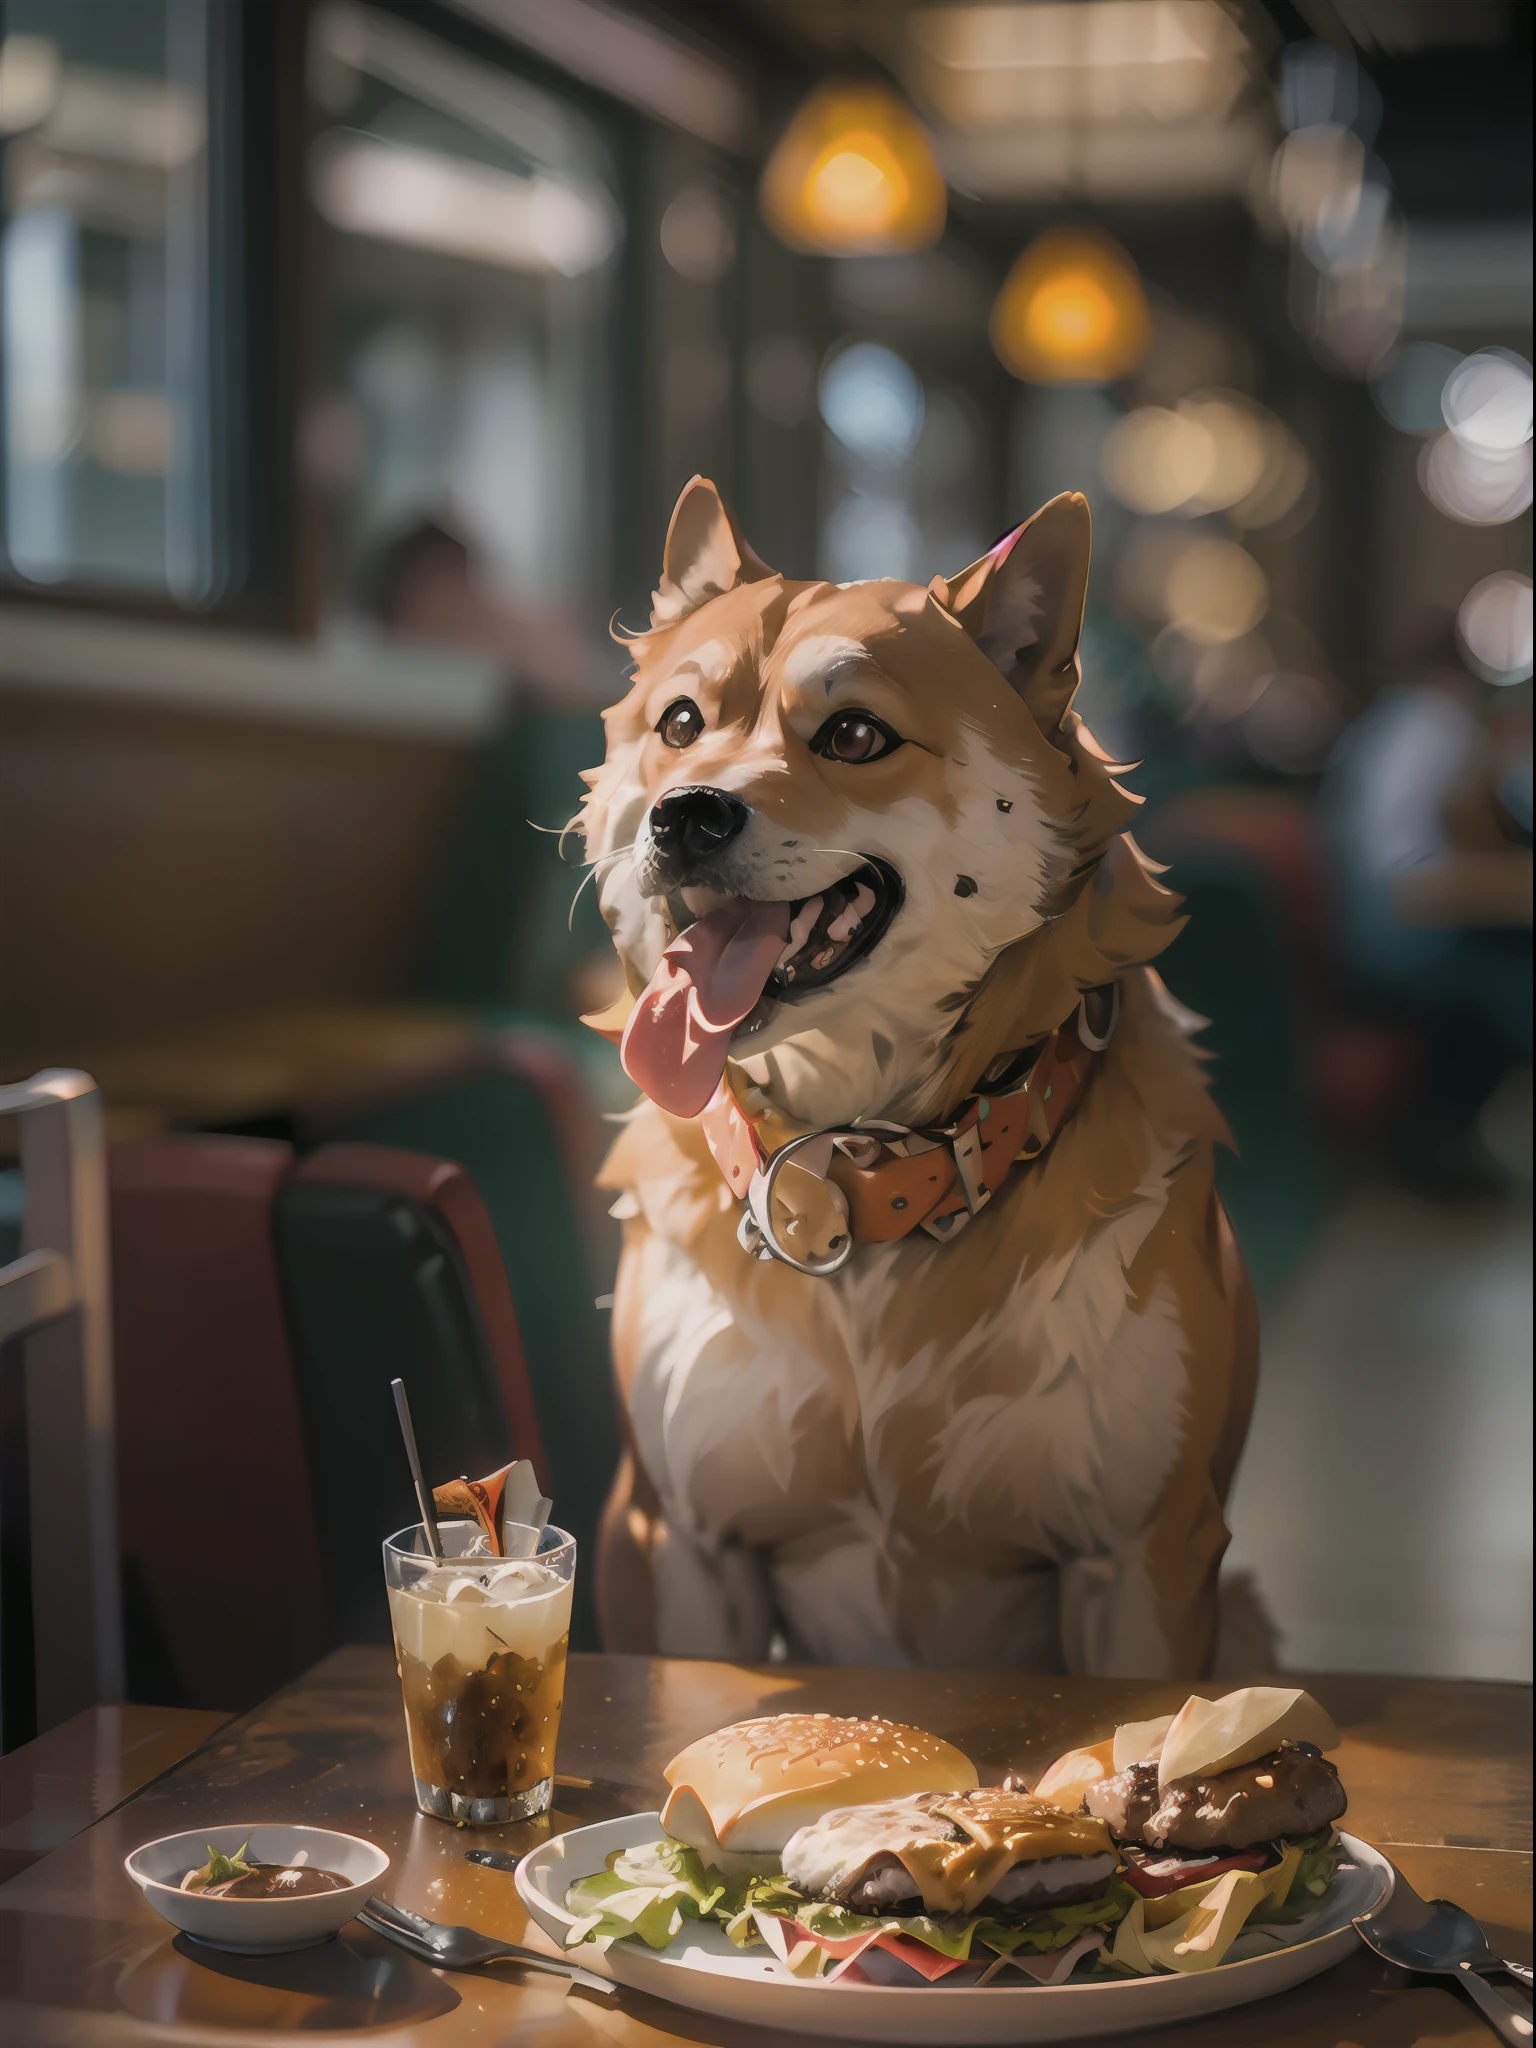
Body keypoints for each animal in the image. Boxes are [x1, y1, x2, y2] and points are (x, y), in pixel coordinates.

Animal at [581, 479, 1253, 1679]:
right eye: (681, 724)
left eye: (855, 734)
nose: (685, 813)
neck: (860, 1172)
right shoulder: (686, 1545)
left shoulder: (1143, 1558)